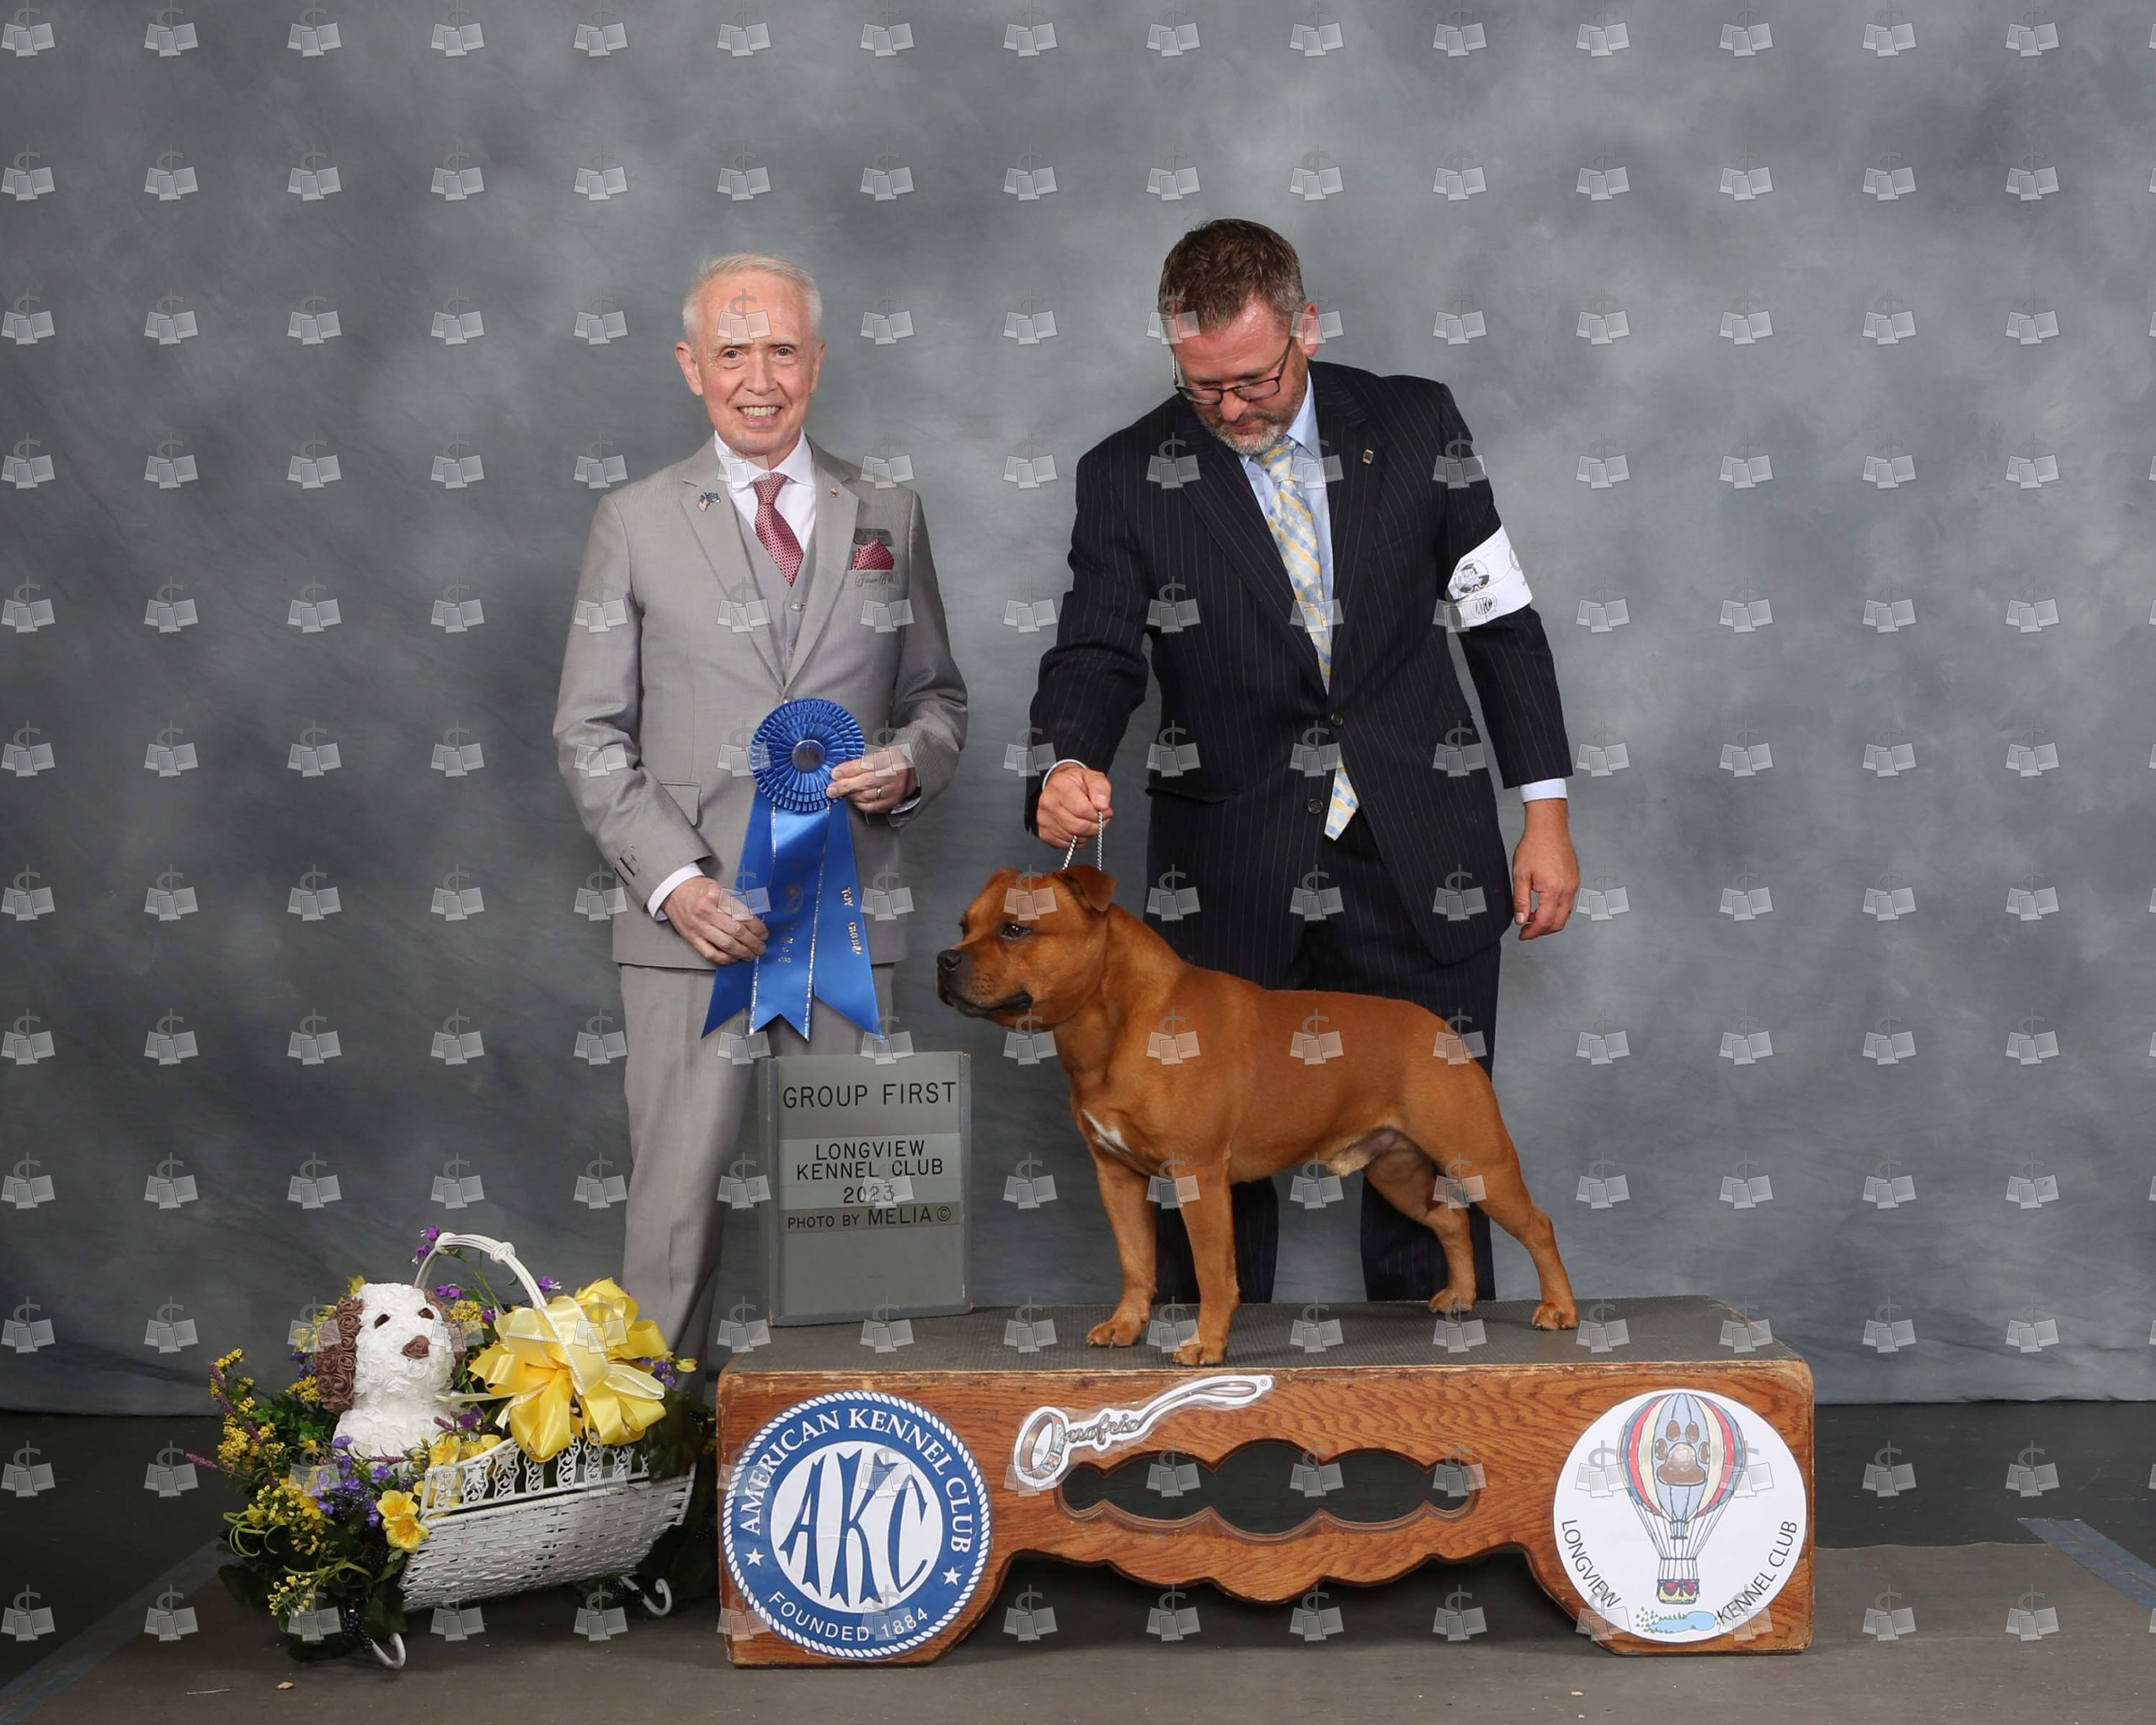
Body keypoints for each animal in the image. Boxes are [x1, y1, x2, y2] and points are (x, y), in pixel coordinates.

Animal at [938, 866, 1578, 1365]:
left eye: (1015, 929)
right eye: (964, 926)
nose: (944, 959)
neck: (1118, 1020)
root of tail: (1441, 1028)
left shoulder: (1198, 1176)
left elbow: (1213, 1273)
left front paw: (1206, 1346)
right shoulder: (1115, 1177)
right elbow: (1135, 1260)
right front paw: (1125, 1326)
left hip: (1481, 1160)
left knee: (1536, 1225)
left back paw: (1560, 1309)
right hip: (1396, 1171)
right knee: (1449, 1219)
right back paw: (1460, 1297)